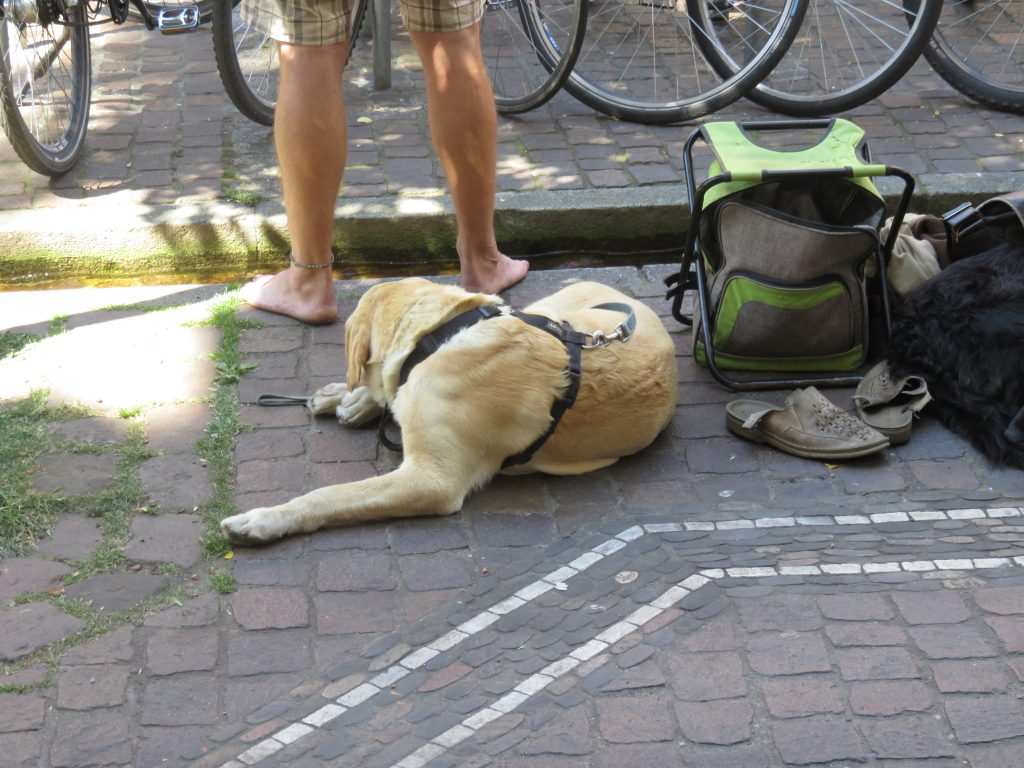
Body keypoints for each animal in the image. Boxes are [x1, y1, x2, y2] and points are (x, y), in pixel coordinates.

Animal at [220, 278, 675, 548]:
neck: (435, 337)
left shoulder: (432, 480)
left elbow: (330, 495)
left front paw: (263, 520)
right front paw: (354, 396)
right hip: (548, 307)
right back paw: (345, 399)